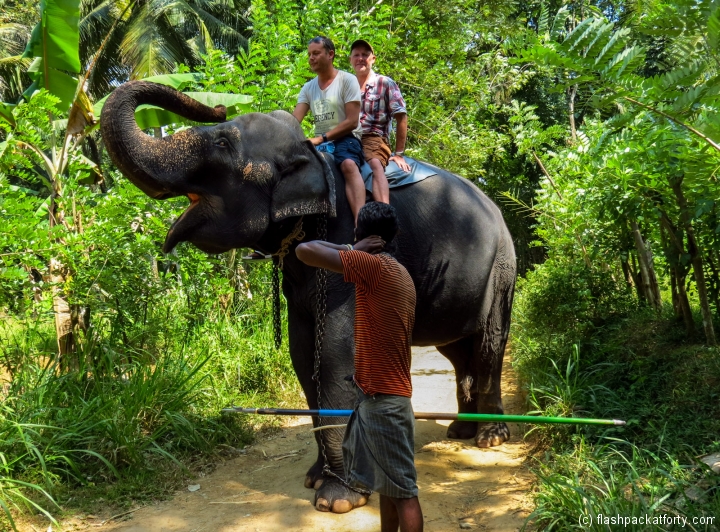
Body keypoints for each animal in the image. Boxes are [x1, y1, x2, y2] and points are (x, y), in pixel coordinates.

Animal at [101, 81, 517, 513]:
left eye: (221, 143)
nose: (217, 108)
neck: (314, 157)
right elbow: (302, 353)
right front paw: (315, 478)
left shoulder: (347, 247)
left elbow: (335, 355)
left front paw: (337, 500)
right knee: (458, 350)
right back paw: (459, 432)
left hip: (503, 268)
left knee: (489, 344)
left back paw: (490, 438)